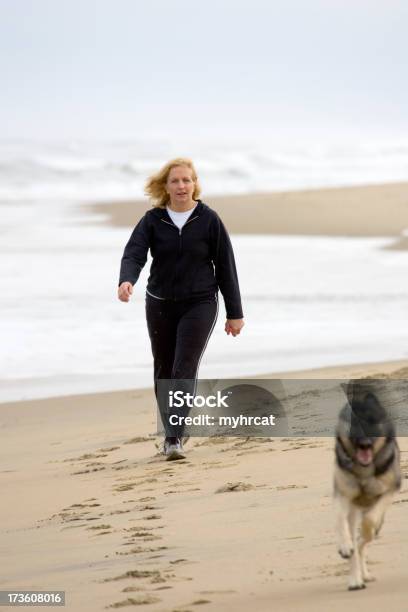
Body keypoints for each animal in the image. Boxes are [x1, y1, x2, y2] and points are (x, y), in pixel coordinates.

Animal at [334, 384, 402, 592]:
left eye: (372, 421)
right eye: (354, 424)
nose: (364, 443)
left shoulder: (390, 490)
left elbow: (370, 520)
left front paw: (365, 529)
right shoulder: (342, 495)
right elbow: (340, 520)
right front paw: (345, 546)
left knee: (363, 542)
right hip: (352, 512)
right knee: (355, 543)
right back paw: (356, 579)